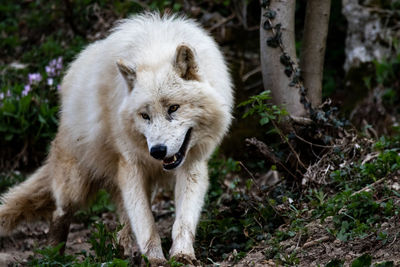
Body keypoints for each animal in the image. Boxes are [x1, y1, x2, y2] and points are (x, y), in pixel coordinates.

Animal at [0, 12, 233, 264]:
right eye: (144, 115)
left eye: (173, 108)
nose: (157, 151)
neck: (155, 51)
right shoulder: (131, 166)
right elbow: (146, 224)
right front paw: (155, 259)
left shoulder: (192, 164)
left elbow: (183, 221)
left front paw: (182, 254)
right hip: (76, 183)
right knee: (60, 211)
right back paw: (54, 256)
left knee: (123, 222)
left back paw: (120, 252)